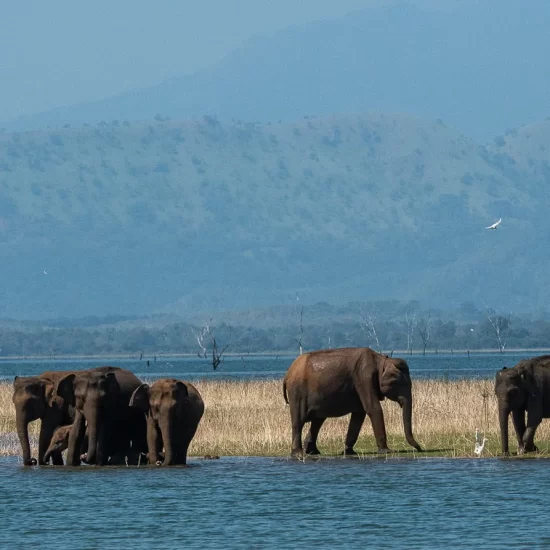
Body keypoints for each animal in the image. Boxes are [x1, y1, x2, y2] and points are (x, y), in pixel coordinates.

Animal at [282, 350, 424, 458]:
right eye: (402, 384)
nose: (420, 449)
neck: (381, 359)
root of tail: (287, 373)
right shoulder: (364, 378)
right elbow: (373, 409)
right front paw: (387, 451)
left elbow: (358, 415)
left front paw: (349, 452)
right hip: (297, 392)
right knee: (299, 421)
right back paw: (299, 454)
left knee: (318, 420)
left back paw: (313, 452)